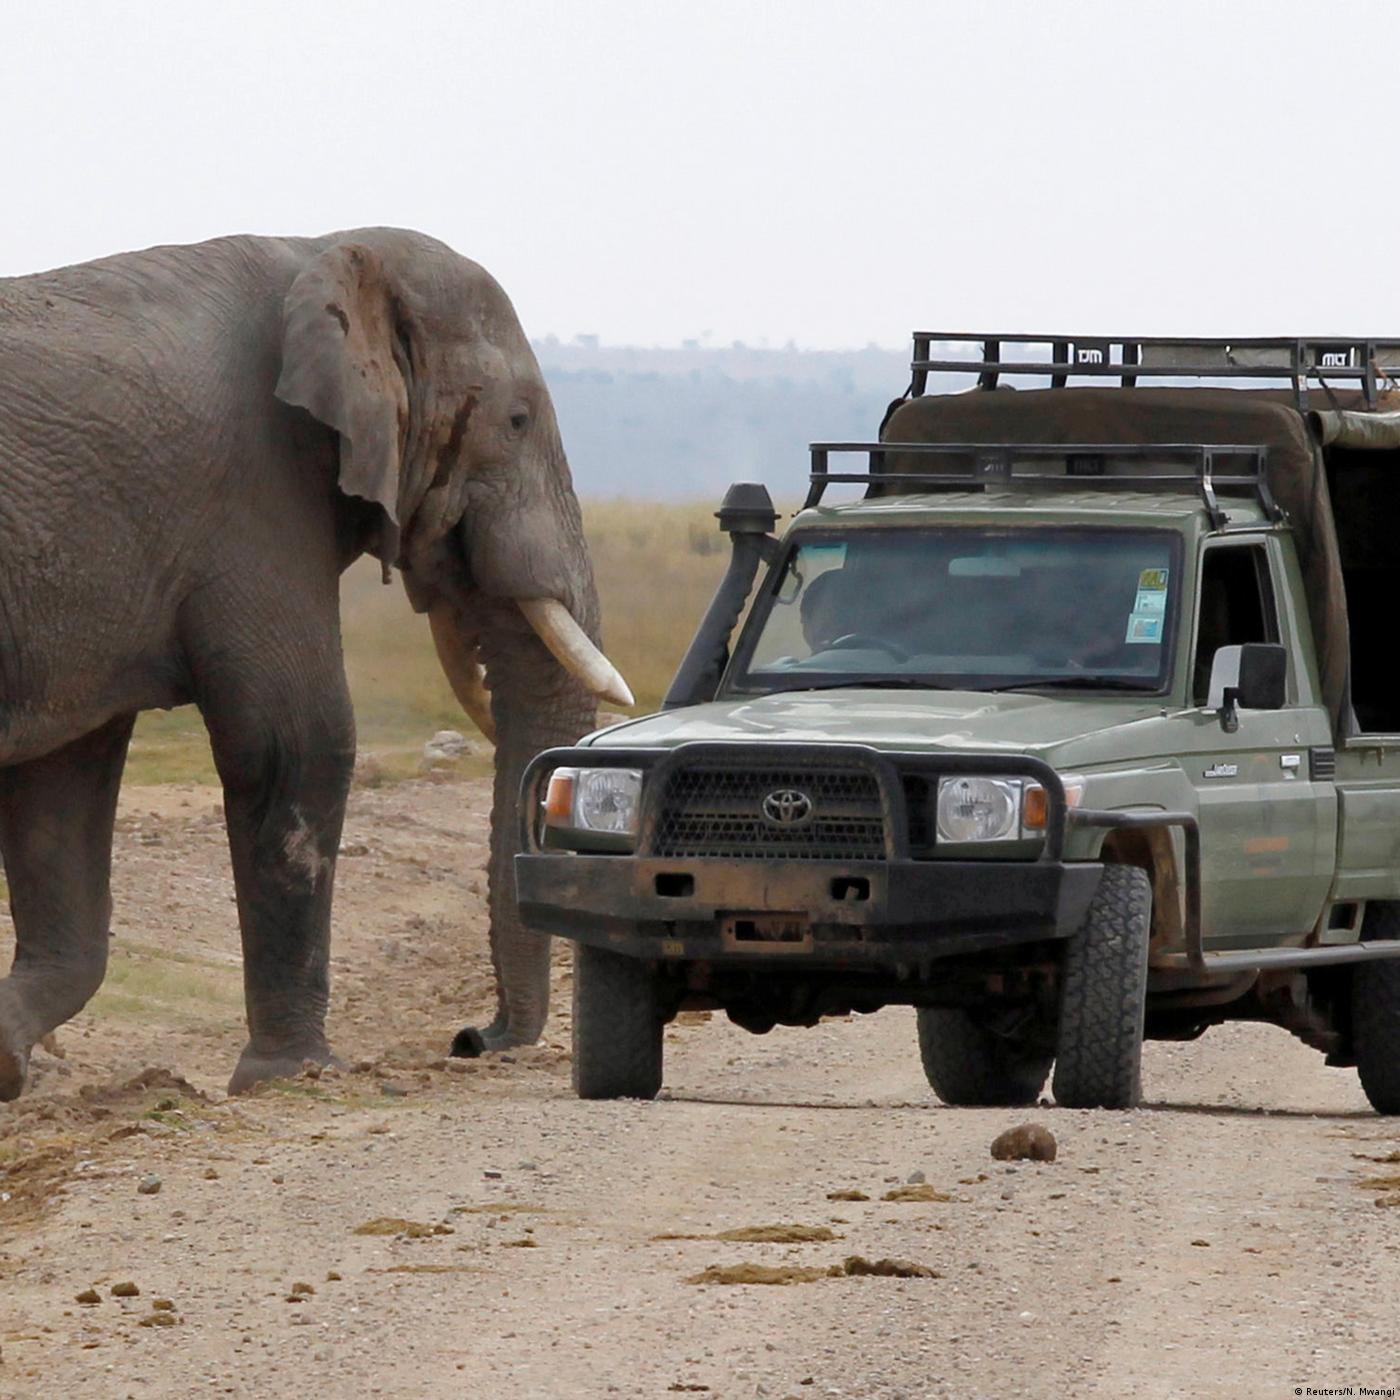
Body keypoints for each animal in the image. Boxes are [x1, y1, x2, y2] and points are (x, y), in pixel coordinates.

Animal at [0, 228, 631, 1099]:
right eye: (516, 419)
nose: (474, 1039)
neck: (327, 251)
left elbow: (60, 788)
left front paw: (3, 1055)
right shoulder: (255, 488)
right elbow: (297, 741)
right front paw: (295, 1074)